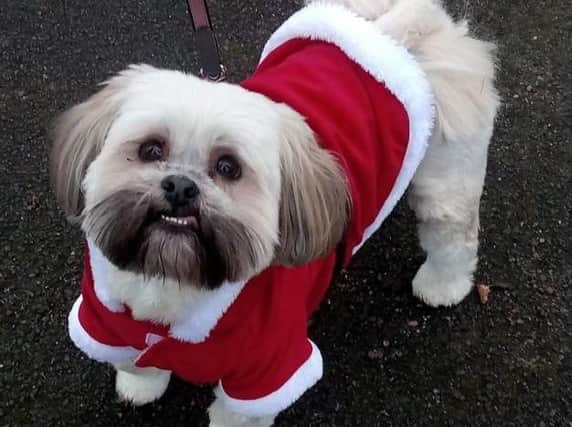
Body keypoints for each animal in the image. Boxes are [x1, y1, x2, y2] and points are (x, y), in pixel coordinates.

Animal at [49, 0, 498, 427]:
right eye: (151, 149)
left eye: (228, 167)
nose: (180, 186)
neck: (174, 278)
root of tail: (391, 31)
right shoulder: (105, 319)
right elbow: (132, 361)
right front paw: (141, 386)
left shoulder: (270, 368)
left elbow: (237, 414)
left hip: (446, 176)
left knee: (453, 235)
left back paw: (441, 286)